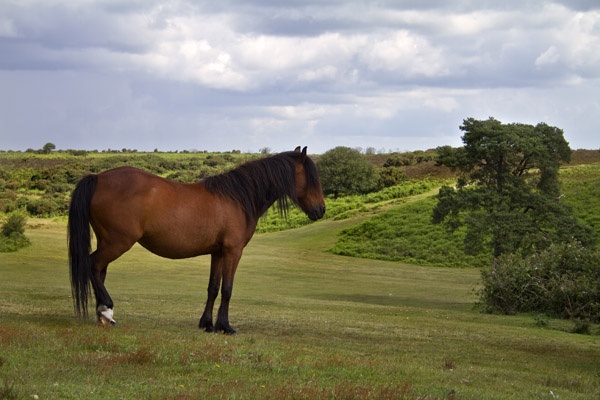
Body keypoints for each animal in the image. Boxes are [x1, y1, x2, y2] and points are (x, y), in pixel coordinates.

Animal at [68, 147, 326, 334]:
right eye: (312, 179)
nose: (321, 210)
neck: (237, 198)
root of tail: (98, 177)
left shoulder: (218, 252)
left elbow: (213, 288)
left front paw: (208, 324)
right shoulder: (233, 251)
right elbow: (228, 289)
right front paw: (225, 326)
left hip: (107, 241)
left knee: (99, 271)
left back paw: (102, 315)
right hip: (118, 242)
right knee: (92, 265)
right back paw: (107, 310)